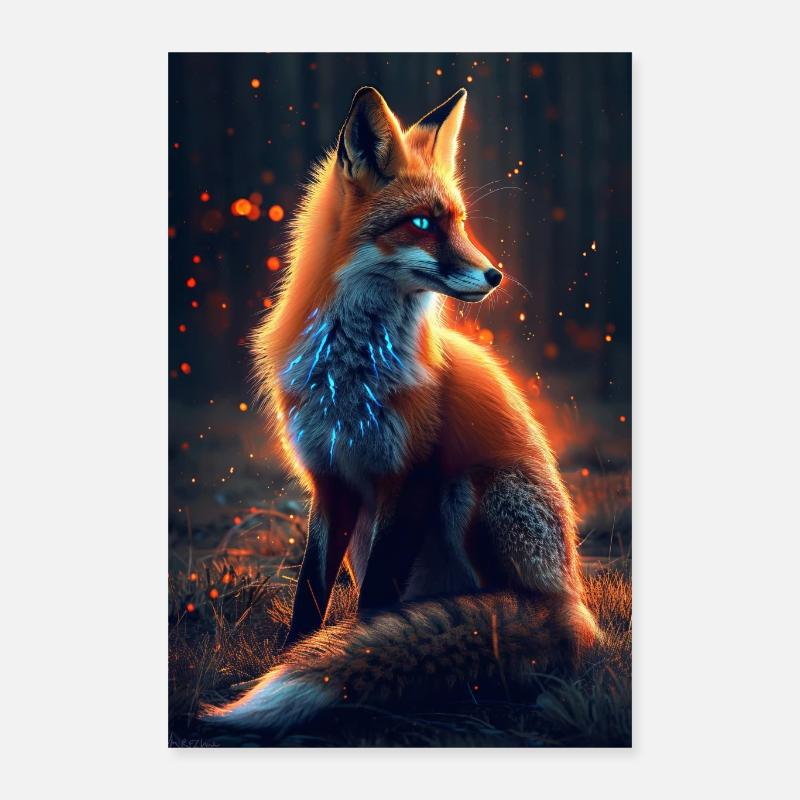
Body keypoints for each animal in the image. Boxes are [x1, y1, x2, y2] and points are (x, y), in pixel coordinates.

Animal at [202, 86, 598, 733]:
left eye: (458, 222)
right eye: (420, 224)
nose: (496, 275)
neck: (351, 378)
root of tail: (572, 602)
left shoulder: (411, 477)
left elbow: (371, 607)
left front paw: (349, 673)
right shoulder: (331, 482)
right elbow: (309, 598)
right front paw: (299, 658)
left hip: (475, 490)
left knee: (510, 616)